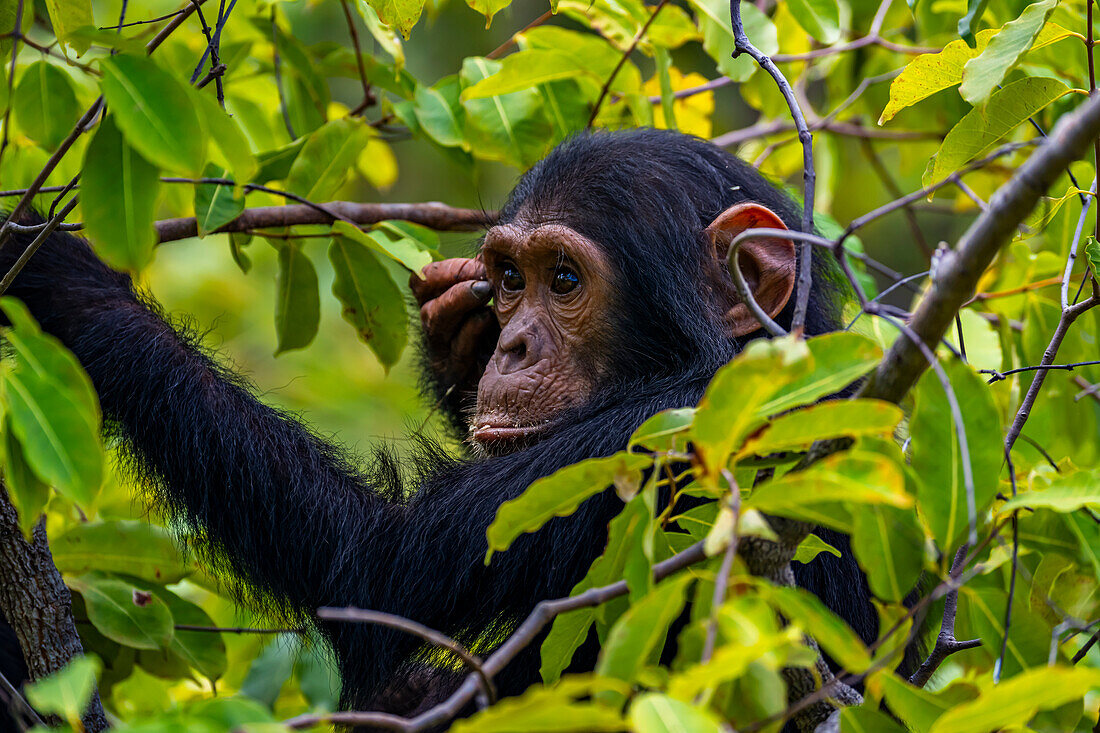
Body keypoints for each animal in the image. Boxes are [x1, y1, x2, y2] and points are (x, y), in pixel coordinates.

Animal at [0, 127, 875, 726]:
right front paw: (453, 336)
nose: (511, 345)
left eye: (565, 280)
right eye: (510, 279)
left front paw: (66, 278)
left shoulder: (657, 434)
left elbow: (374, 565)